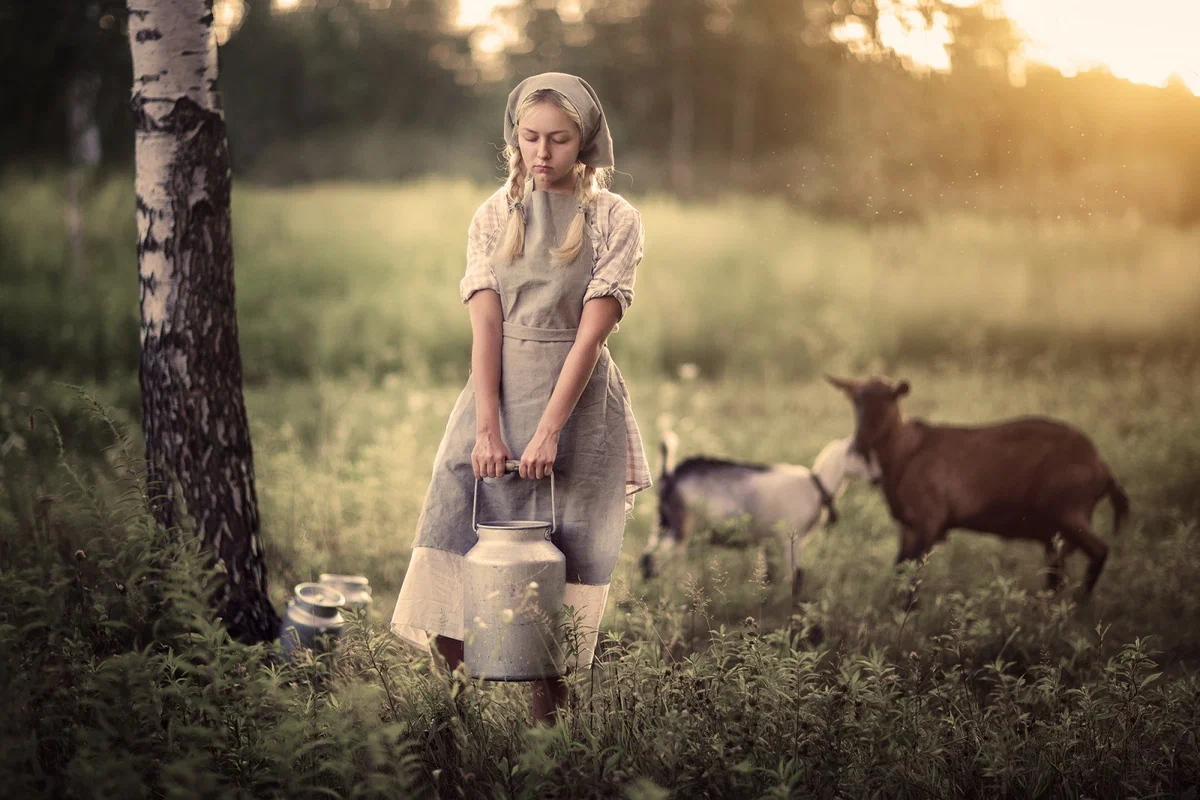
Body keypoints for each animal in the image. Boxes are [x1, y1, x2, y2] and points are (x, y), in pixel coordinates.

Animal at [830, 376, 1128, 599]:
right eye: (855, 401)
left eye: (889, 401)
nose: (858, 445)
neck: (907, 452)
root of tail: (1102, 468)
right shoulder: (908, 526)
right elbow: (900, 570)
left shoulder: (930, 520)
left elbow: (913, 577)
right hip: (1058, 531)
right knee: (1057, 575)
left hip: (1069, 514)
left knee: (1099, 551)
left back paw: (1079, 607)